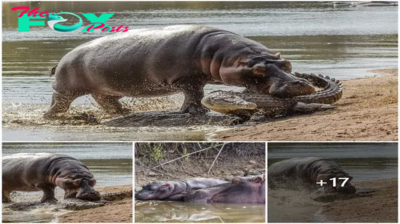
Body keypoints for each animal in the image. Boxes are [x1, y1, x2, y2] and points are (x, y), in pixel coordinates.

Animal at [44, 24, 316, 118]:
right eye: (258, 70)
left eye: (287, 64)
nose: (298, 84)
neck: (222, 55)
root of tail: (61, 59)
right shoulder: (186, 78)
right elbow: (195, 94)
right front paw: (195, 111)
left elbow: (197, 92)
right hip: (66, 90)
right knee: (58, 104)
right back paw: (52, 117)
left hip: (105, 89)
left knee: (108, 102)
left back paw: (125, 112)